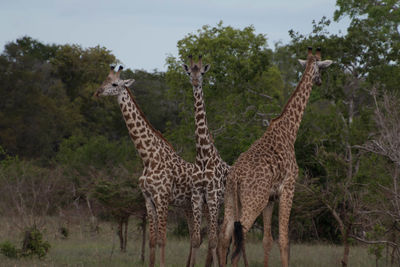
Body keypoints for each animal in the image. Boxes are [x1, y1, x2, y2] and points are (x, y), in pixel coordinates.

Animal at [93, 66, 200, 267]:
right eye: (104, 80)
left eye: (115, 84)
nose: (98, 92)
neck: (148, 157)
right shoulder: (148, 199)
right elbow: (151, 240)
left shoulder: (162, 198)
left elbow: (162, 240)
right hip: (188, 206)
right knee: (194, 237)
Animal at [217, 47, 332, 266]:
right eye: (321, 68)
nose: (320, 81)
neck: (289, 130)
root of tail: (235, 178)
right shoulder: (288, 188)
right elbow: (284, 240)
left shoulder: (270, 197)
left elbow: (267, 240)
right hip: (253, 201)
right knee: (238, 238)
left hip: (230, 201)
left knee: (224, 237)